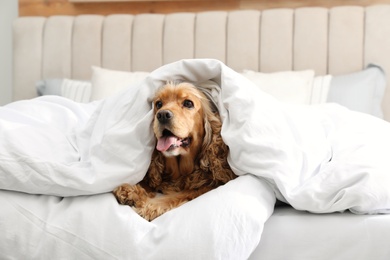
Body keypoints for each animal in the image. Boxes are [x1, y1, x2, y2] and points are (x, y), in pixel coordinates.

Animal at [112, 82, 235, 221]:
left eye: (188, 103)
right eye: (158, 104)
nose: (162, 115)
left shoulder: (212, 184)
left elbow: (184, 193)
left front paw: (149, 206)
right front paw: (130, 191)